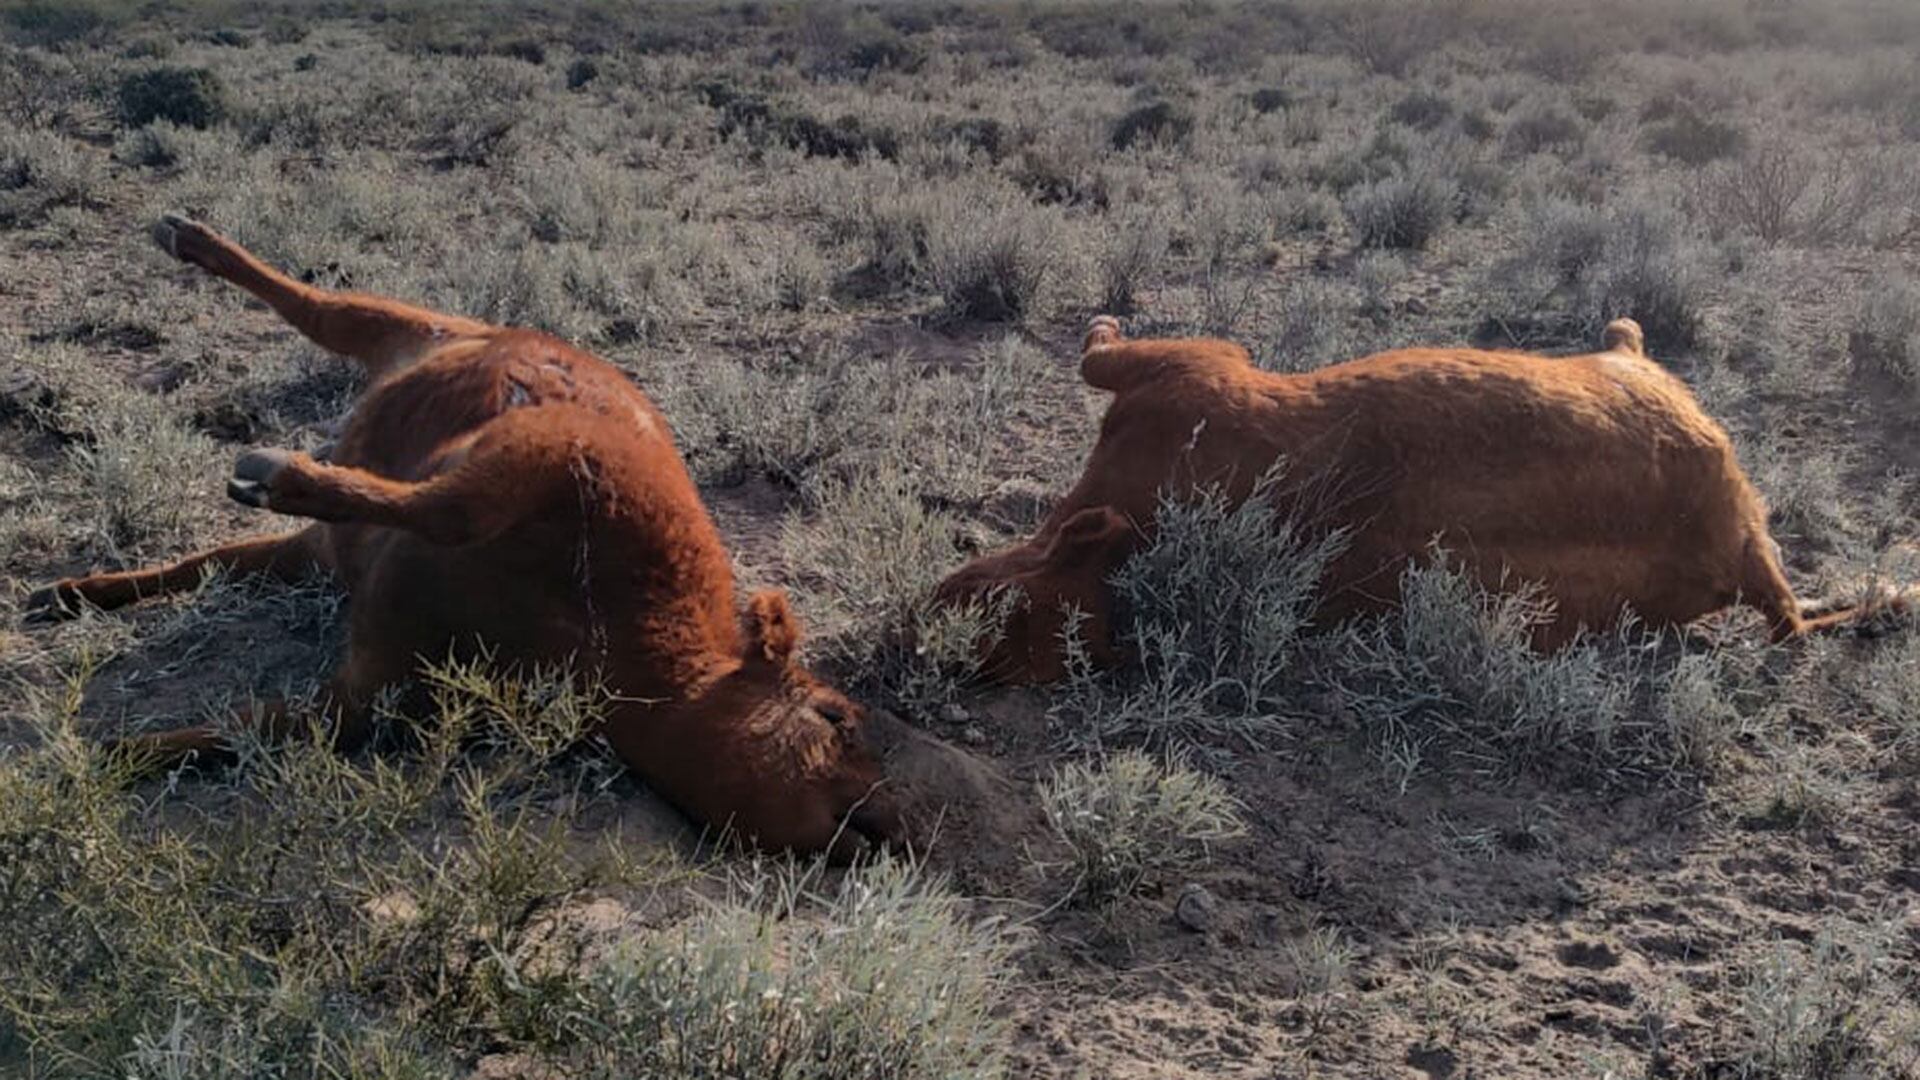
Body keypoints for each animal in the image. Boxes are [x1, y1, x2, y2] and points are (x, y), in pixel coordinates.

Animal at [24, 214, 906, 860]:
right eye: (834, 717)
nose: (884, 828)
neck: (606, 643)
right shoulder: (559, 454)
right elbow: (454, 508)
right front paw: (275, 471)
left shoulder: (363, 693)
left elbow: (244, 724)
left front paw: (93, 758)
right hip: (409, 327)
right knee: (318, 305)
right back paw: (189, 239)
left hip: (330, 524)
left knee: (223, 556)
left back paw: (68, 593)